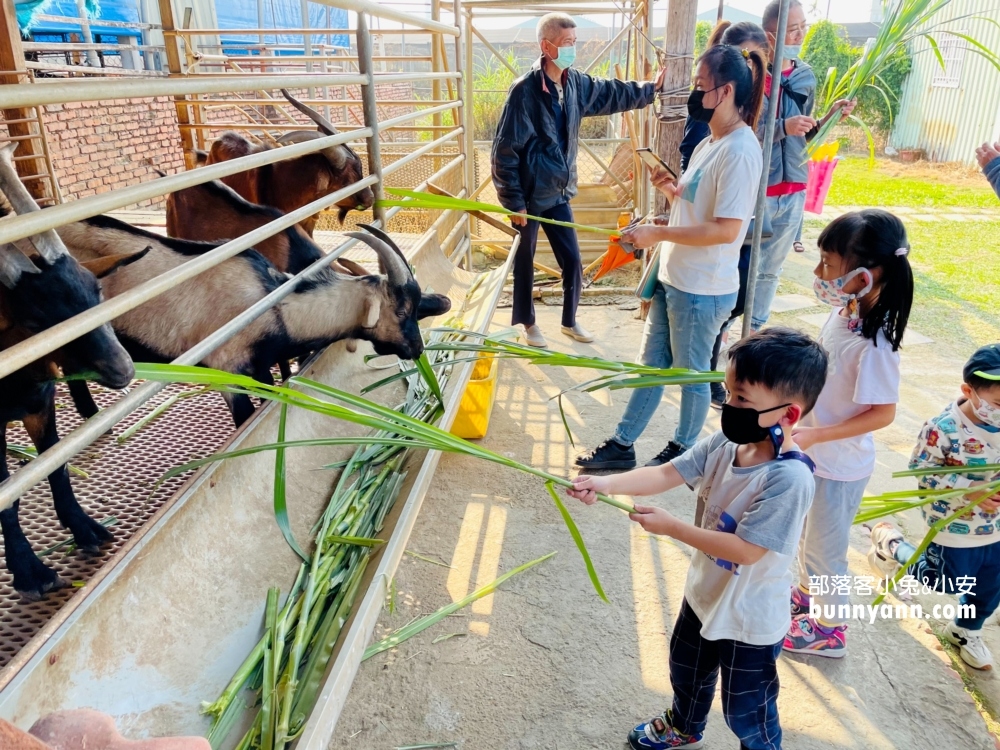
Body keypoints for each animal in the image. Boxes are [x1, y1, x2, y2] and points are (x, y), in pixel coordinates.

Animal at [0, 148, 143, 604]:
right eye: (32, 320)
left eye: (96, 291)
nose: (122, 369)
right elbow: (5, 492)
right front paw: (30, 572)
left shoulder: (41, 401)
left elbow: (56, 464)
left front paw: (85, 528)